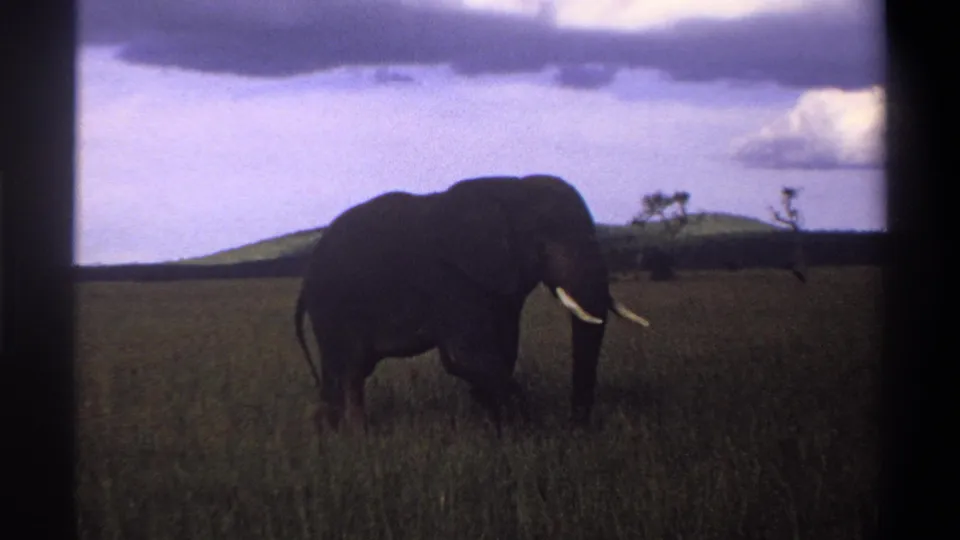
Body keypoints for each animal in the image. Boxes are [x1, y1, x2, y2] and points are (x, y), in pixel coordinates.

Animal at [294, 174, 650, 435]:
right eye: (547, 239)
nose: (577, 426)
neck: (511, 191)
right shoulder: (451, 278)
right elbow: (465, 355)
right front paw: (533, 431)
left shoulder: (500, 283)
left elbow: (502, 351)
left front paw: (494, 425)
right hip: (334, 307)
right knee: (350, 368)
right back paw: (356, 435)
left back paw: (330, 430)